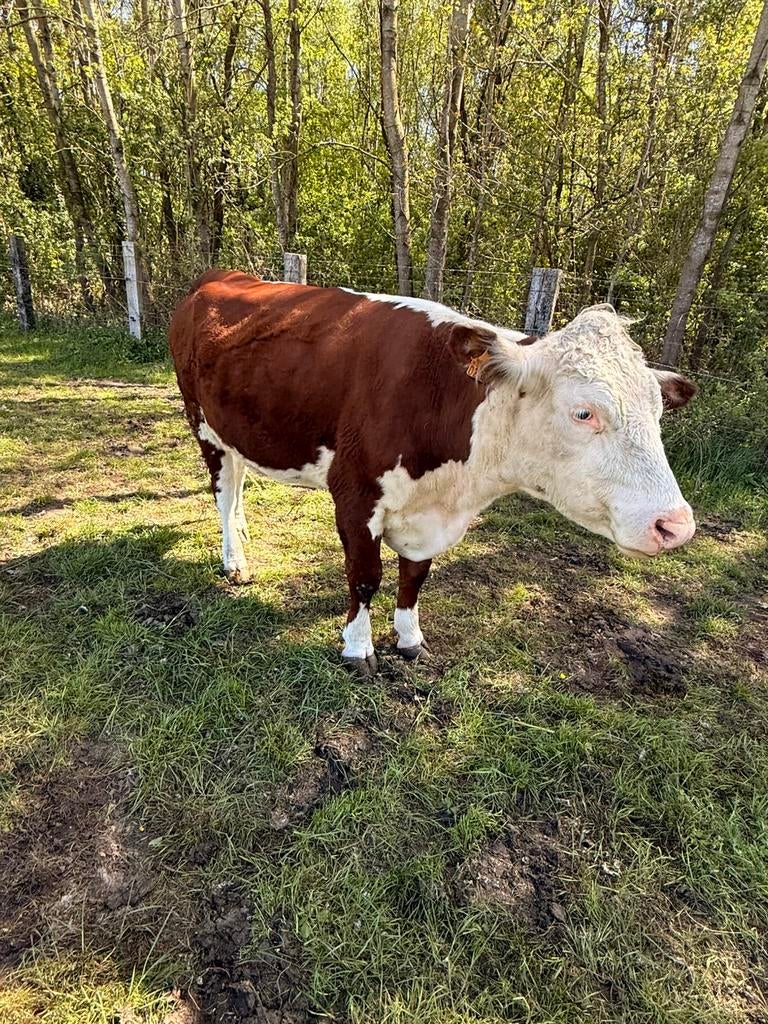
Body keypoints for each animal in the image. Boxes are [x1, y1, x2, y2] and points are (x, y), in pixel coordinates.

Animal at [169, 270, 696, 676]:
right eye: (584, 413)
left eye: (658, 411)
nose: (676, 525)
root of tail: (219, 276)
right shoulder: (356, 495)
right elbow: (365, 576)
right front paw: (357, 648)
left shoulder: (428, 515)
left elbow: (415, 575)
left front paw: (409, 638)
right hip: (202, 422)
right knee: (223, 491)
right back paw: (235, 559)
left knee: (238, 482)